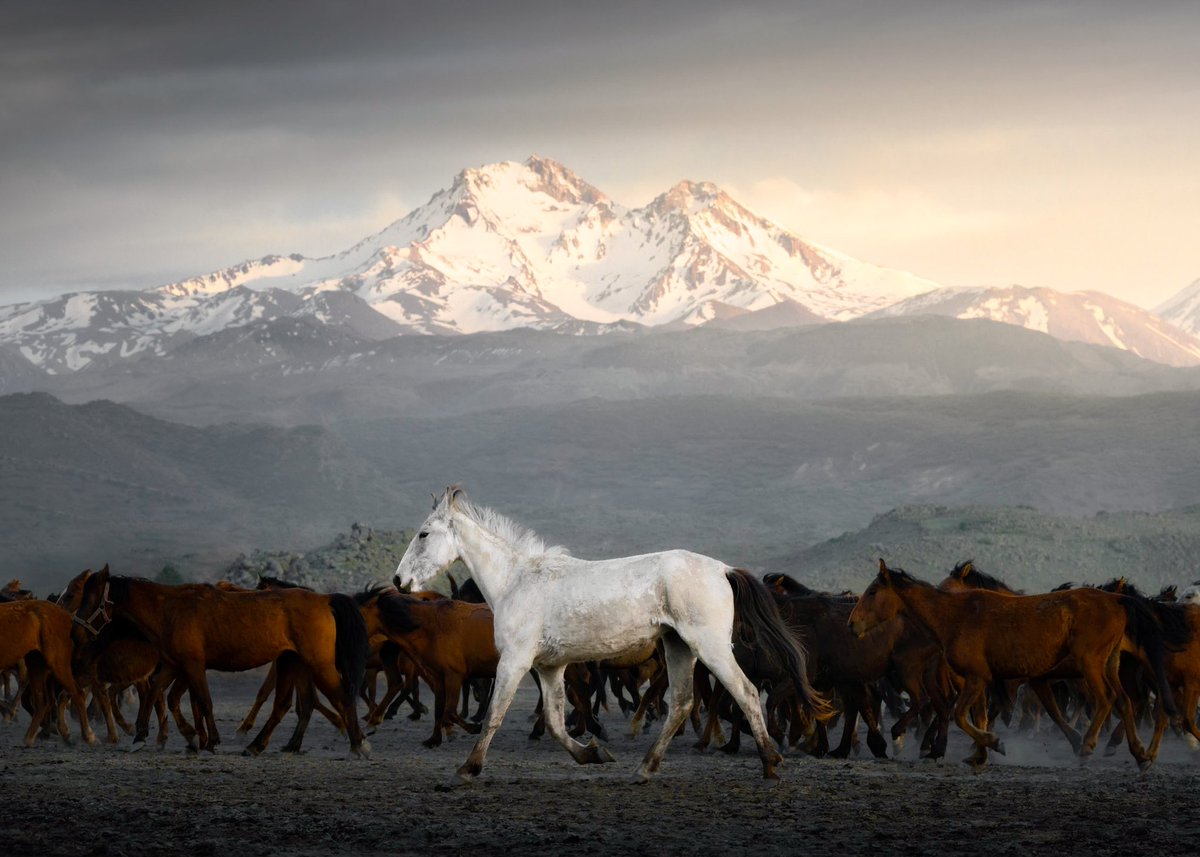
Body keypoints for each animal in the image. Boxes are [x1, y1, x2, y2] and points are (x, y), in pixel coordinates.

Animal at [0, 597, 96, 744]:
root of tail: (66, 616)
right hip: (36, 663)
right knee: (42, 701)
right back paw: (29, 738)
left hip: (58, 663)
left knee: (77, 693)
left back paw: (88, 735)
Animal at [77, 566, 367, 753]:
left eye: (90, 599)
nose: (75, 632)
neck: (169, 609)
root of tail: (324, 599)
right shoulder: (173, 665)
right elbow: (156, 694)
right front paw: (141, 736)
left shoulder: (193, 665)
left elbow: (203, 701)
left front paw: (211, 740)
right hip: (296, 664)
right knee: (297, 705)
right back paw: (270, 745)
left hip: (319, 664)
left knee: (340, 697)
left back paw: (358, 744)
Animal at [393, 484, 825, 782]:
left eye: (424, 534)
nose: (399, 581)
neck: (518, 581)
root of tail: (722, 568)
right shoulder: (549, 668)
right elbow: (554, 721)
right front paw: (593, 754)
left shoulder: (515, 661)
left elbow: (495, 714)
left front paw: (468, 768)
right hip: (678, 646)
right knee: (682, 703)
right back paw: (646, 767)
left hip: (711, 647)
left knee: (746, 693)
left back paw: (770, 764)